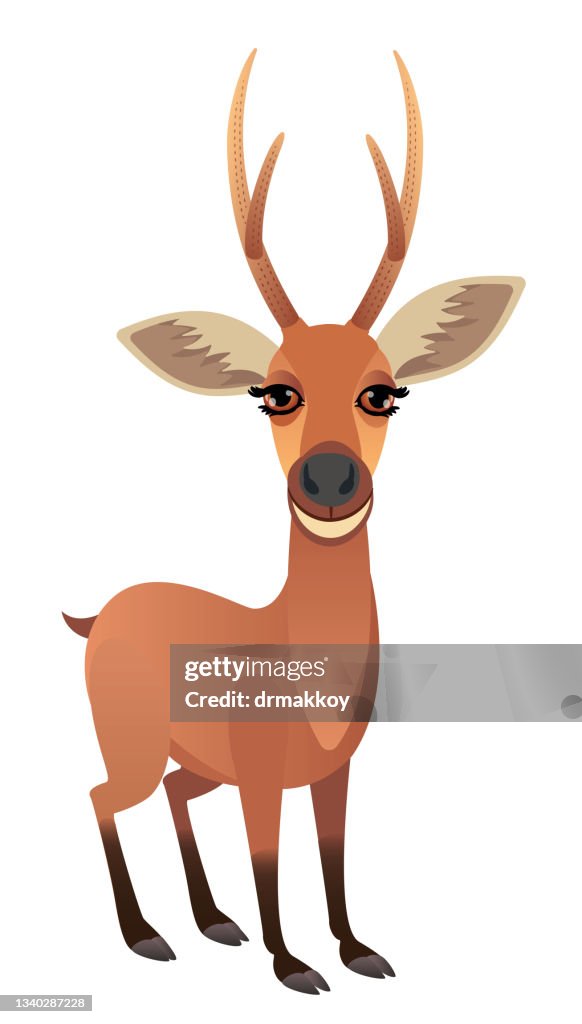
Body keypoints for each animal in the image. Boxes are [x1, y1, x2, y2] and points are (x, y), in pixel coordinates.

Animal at [63, 50, 524, 994]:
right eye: (275, 393)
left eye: (385, 392)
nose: (330, 477)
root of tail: (98, 614)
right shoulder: (262, 776)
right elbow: (270, 862)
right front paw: (291, 965)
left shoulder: (331, 773)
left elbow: (331, 857)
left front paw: (356, 950)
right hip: (131, 745)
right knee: (101, 795)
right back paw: (148, 936)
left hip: (189, 760)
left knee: (170, 794)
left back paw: (211, 923)